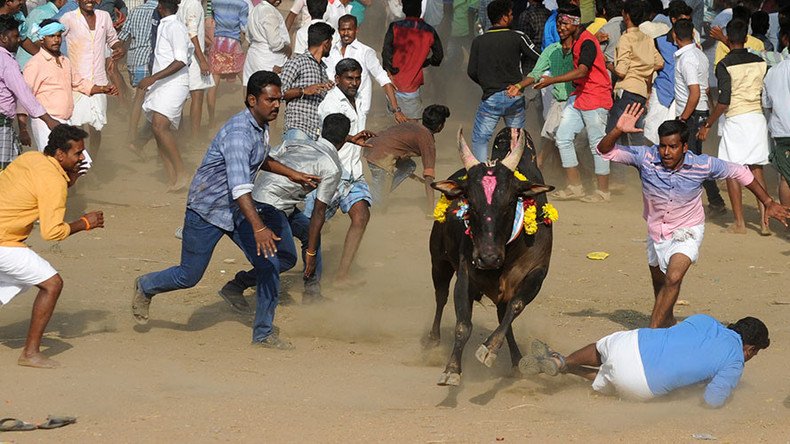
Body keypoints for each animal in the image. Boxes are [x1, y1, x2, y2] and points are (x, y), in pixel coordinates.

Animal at [430, 127, 552, 386]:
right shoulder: (465, 274)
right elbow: (463, 325)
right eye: (470, 202)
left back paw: (516, 360)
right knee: (440, 296)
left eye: (510, 201)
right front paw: (452, 369)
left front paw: (490, 348)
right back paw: (433, 340)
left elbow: (515, 307)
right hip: (439, 262)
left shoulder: (537, 273)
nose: (487, 258)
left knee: (503, 314)